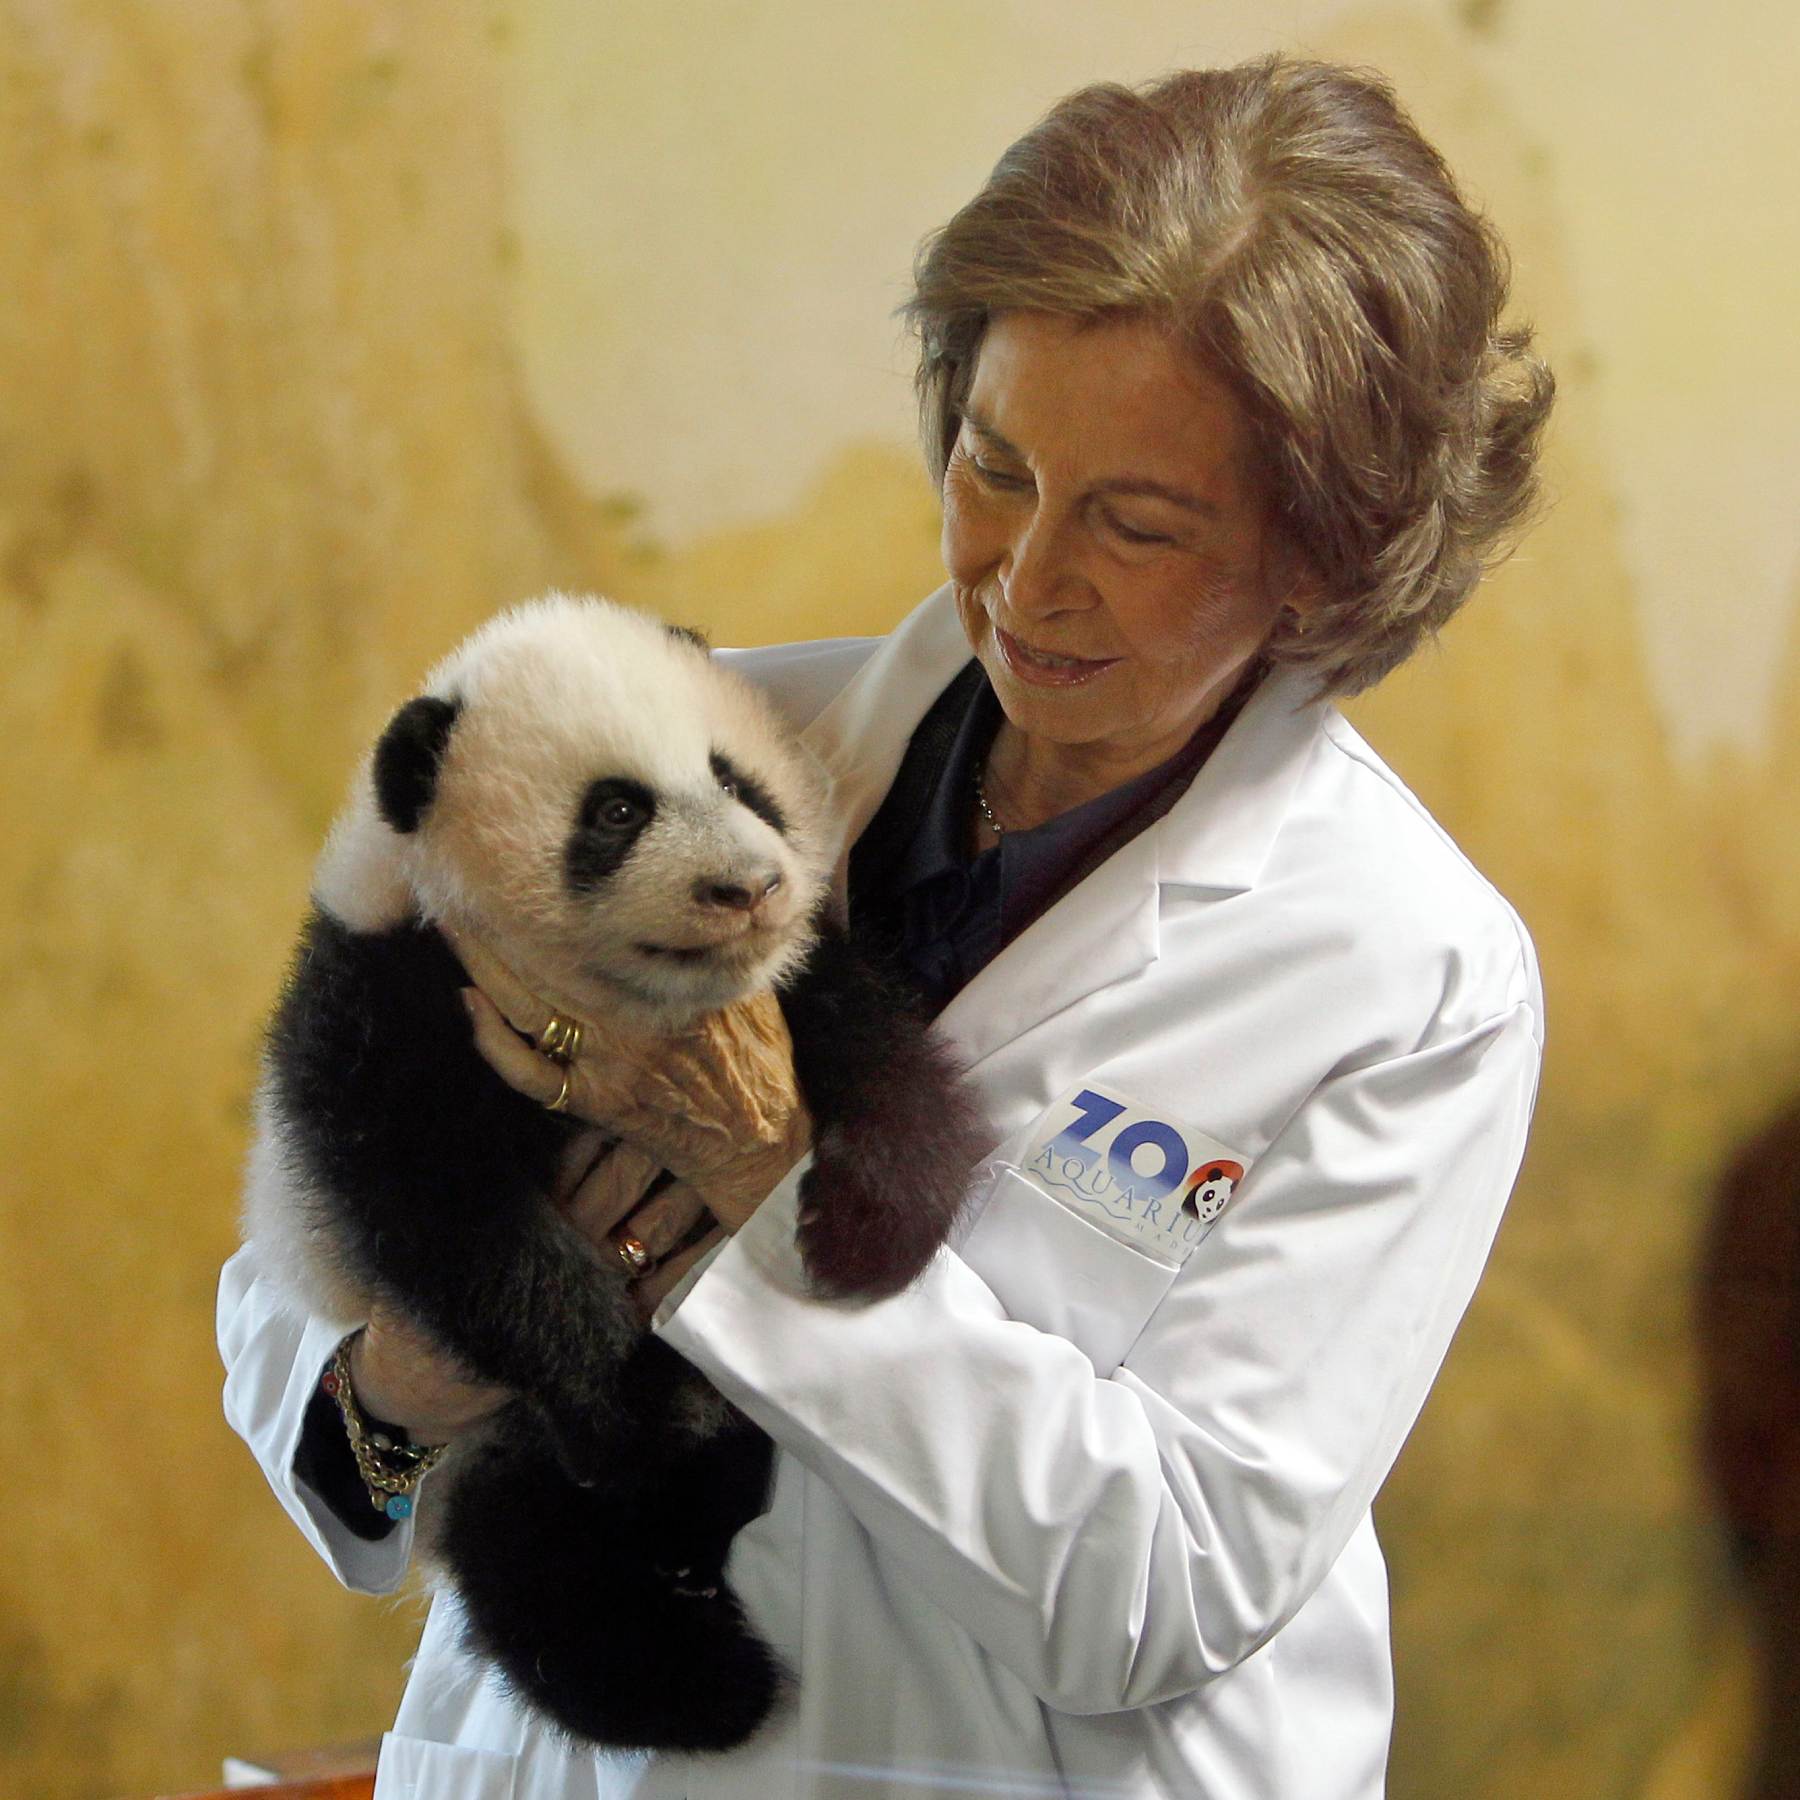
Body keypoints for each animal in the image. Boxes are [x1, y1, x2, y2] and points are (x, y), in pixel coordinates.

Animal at [243, 592, 987, 1753]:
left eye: (736, 778)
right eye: (618, 811)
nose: (749, 887)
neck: (618, 1006)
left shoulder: (779, 985)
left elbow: (860, 1034)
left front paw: (865, 1231)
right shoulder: (386, 1001)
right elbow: (455, 1220)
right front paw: (634, 1406)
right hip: (499, 1446)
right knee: (534, 1563)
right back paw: (706, 1672)